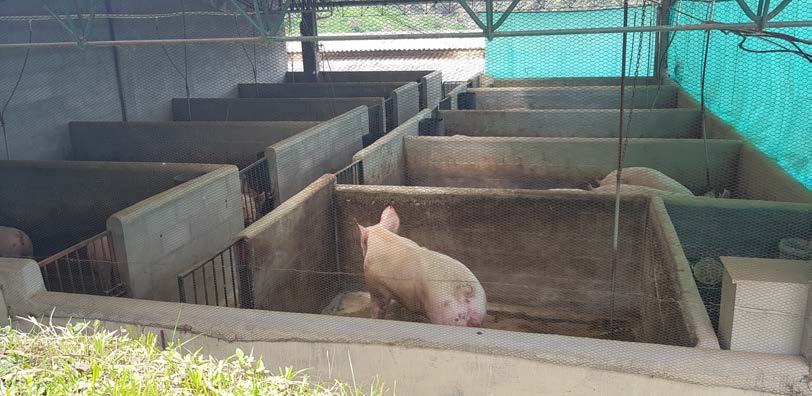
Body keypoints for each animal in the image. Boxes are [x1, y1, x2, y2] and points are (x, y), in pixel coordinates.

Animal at [356, 206, 486, 326]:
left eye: (362, 242)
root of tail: (465, 288)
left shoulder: (375, 285)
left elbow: (378, 306)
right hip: (478, 308)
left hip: (445, 312)